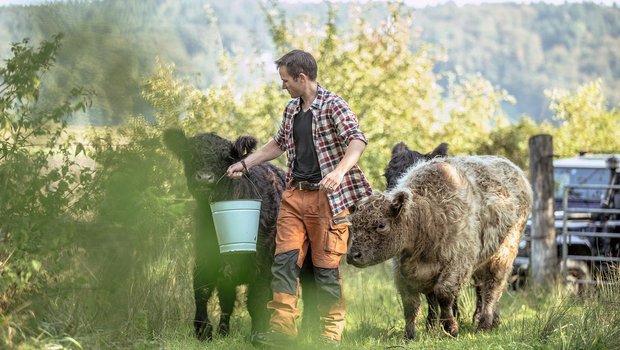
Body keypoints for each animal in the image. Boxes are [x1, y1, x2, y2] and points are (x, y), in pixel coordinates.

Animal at [162, 128, 314, 340]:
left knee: (311, 292)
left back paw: (308, 331)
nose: (205, 177)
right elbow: (205, 291)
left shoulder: (263, 263)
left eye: (226, 158)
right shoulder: (206, 256)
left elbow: (257, 299)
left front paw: (258, 334)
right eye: (190, 155)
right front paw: (206, 331)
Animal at [348, 155, 532, 340]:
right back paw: (492, 321)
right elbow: (412, 304)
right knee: (483, 287)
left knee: (493, 287)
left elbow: (444, 294)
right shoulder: (403, 273)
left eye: (381, 225)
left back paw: (484, 324)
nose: (352, 255)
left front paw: (450, 328)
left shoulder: (458, 262)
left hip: (503, 253)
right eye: (353, 224)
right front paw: (412, 334)